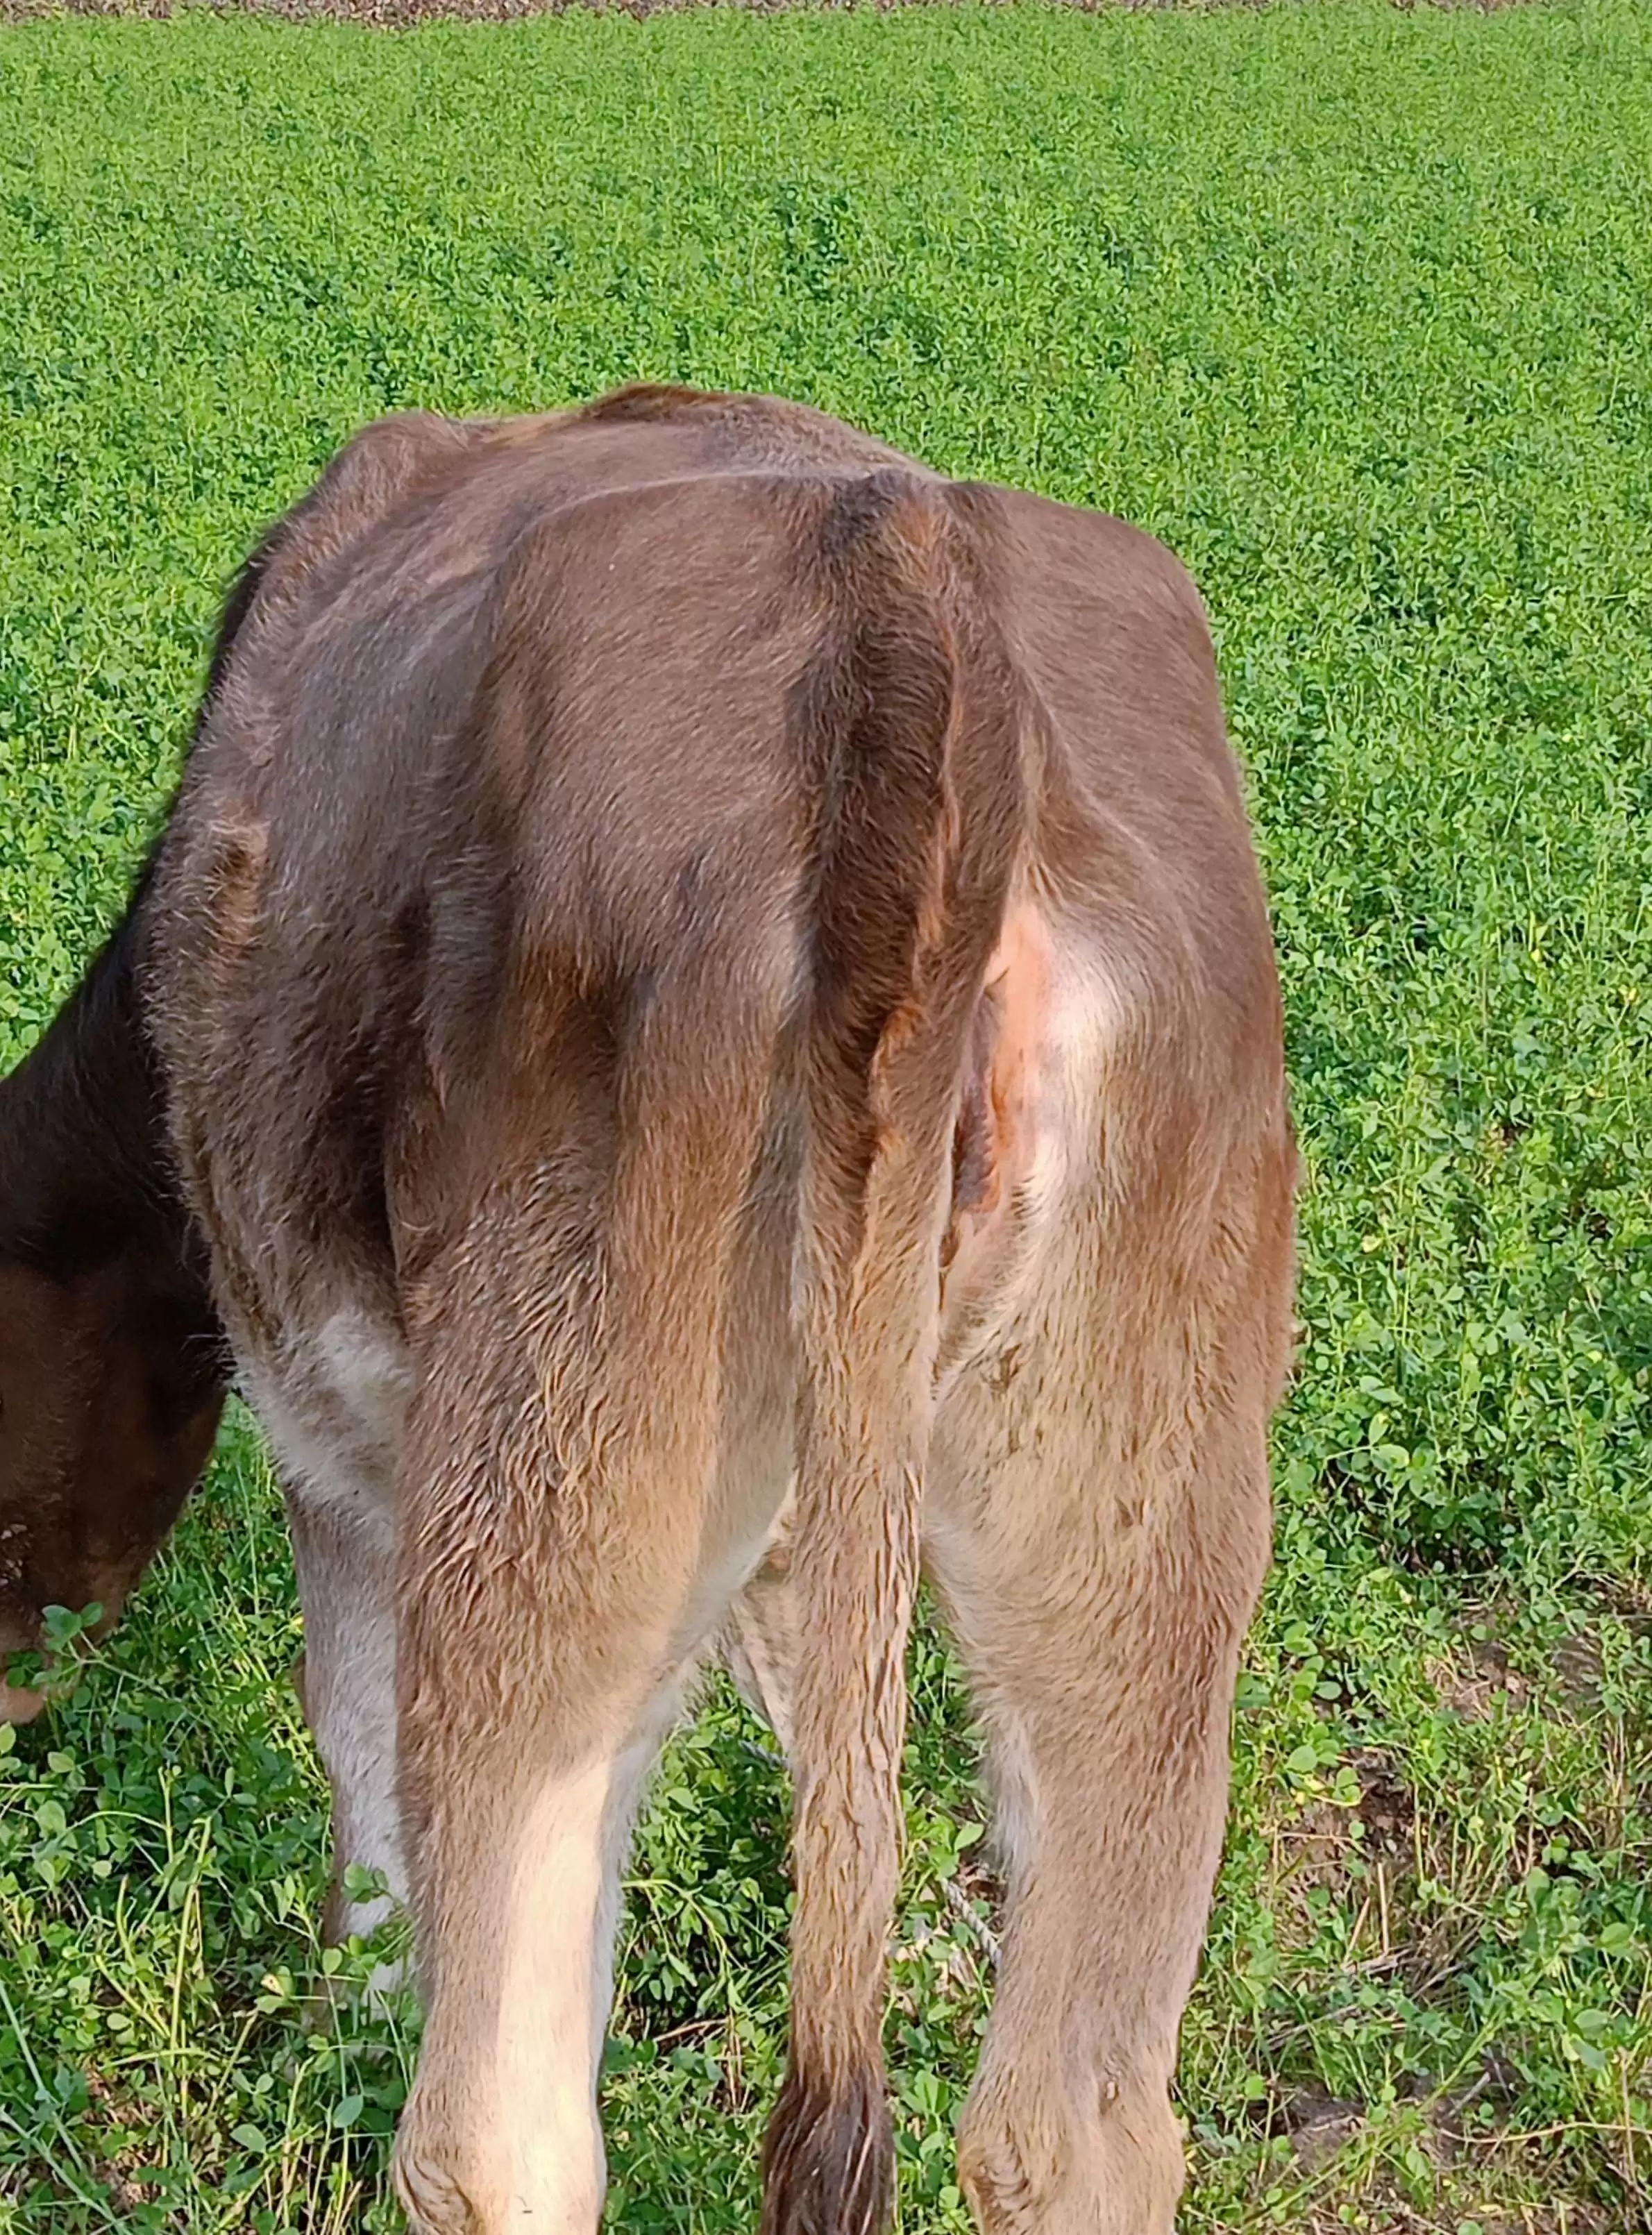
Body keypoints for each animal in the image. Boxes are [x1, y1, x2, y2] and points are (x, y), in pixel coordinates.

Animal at [0, 384, 1295, 2235]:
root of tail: (910, 598)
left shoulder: (334, 1447)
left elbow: (362, 1797)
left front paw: (340, 2031)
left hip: (547, 1480)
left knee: (498, 2131)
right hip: (1138, 1519)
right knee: (1074, 2124)